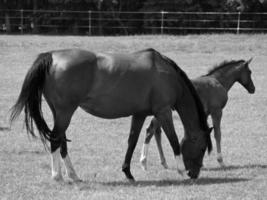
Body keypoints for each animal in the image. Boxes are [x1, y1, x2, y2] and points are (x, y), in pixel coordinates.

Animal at [10, 48, 214, 181]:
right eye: (203, 148)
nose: (194, 174)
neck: (166, 74)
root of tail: (51, 56)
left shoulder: (139, 114)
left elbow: (132, 141)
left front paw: (128, 172)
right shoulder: (163, 112)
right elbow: (173, 140)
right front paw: (180, 170)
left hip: (59, 113)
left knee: (60, 141)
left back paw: (73, 175)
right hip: (65, 112)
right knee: (55, 139)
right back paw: (57, 176)